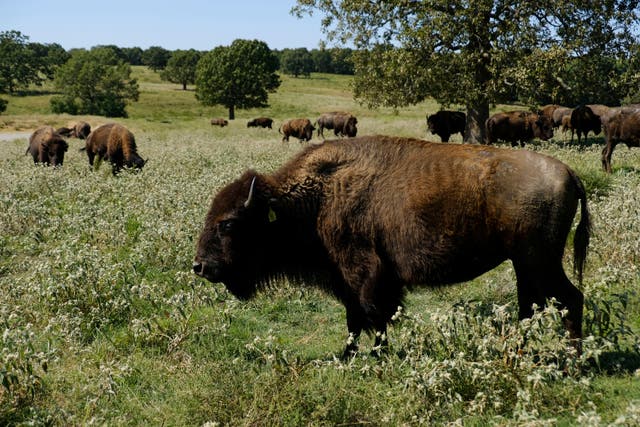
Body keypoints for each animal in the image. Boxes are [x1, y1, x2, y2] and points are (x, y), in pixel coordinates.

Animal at [194, 136, 592, 358]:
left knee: (570, 299)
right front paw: (348, 354)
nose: (200, 266)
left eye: (228, 223)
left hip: (541, 261)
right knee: (530, 306)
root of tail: (568, 172)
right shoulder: (348, 281)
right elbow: (355, 318)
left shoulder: (365, 274)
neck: (317, 197)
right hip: (524, 264)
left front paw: (377, 355)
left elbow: (374, 315)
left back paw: (572, 363)